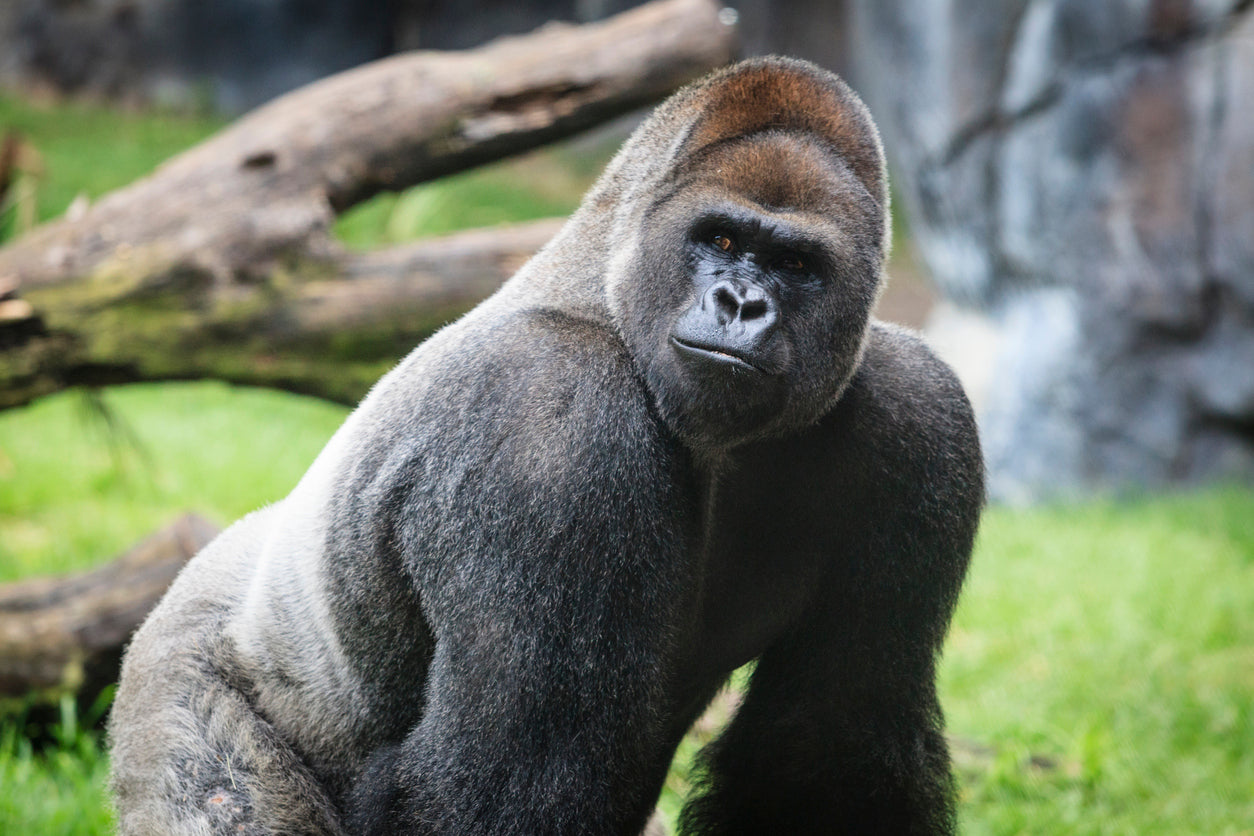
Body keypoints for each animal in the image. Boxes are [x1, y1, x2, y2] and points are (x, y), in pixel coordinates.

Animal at [109, 56, 983, 835]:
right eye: (724, 240)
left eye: (797, 262)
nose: (741, 303)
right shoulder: (551, 412)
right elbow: (508, 778)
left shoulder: (920, 412)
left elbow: (828, 750)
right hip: (180, 676)